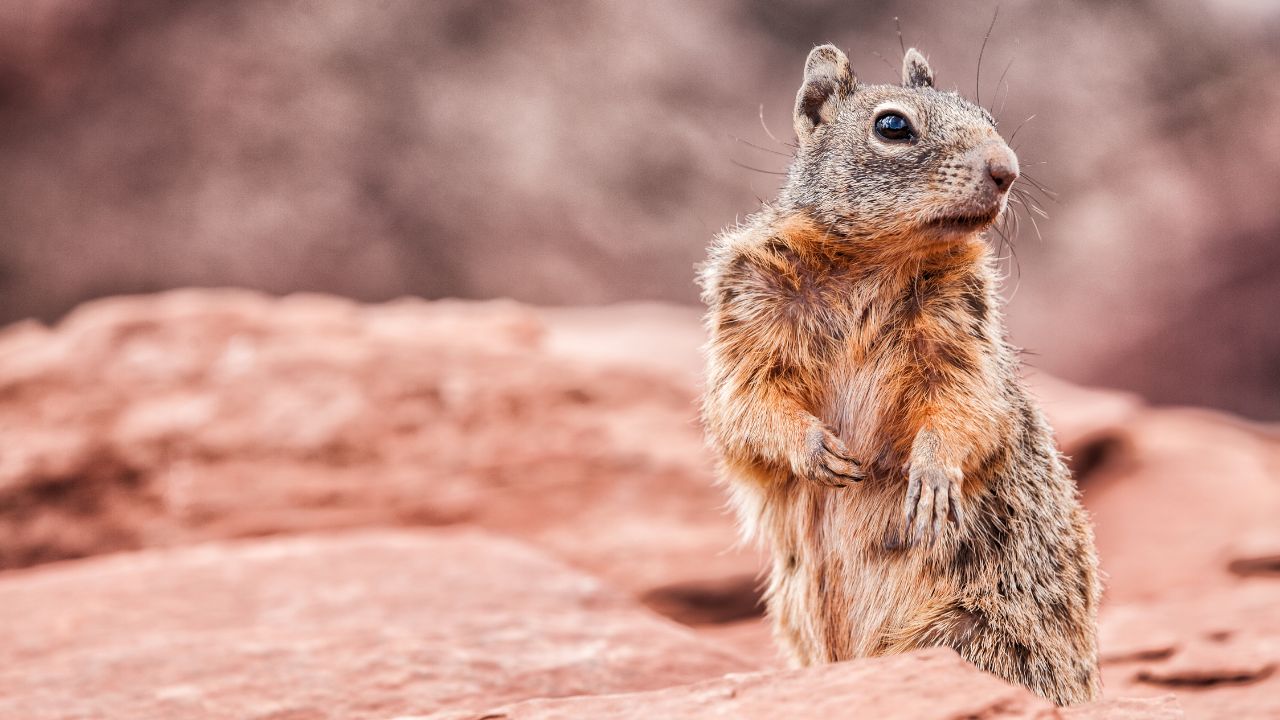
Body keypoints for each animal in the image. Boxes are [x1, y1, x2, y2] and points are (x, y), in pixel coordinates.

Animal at [696, 43, 1105, 702]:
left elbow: (965, 407)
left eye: (987, 116)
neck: (876, 262)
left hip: (969, 632)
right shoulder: (745, 315)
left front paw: (933, 478)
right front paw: (817, 451)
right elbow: (745, 405)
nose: (1007, 169)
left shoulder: (964, 338)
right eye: (892, 126)